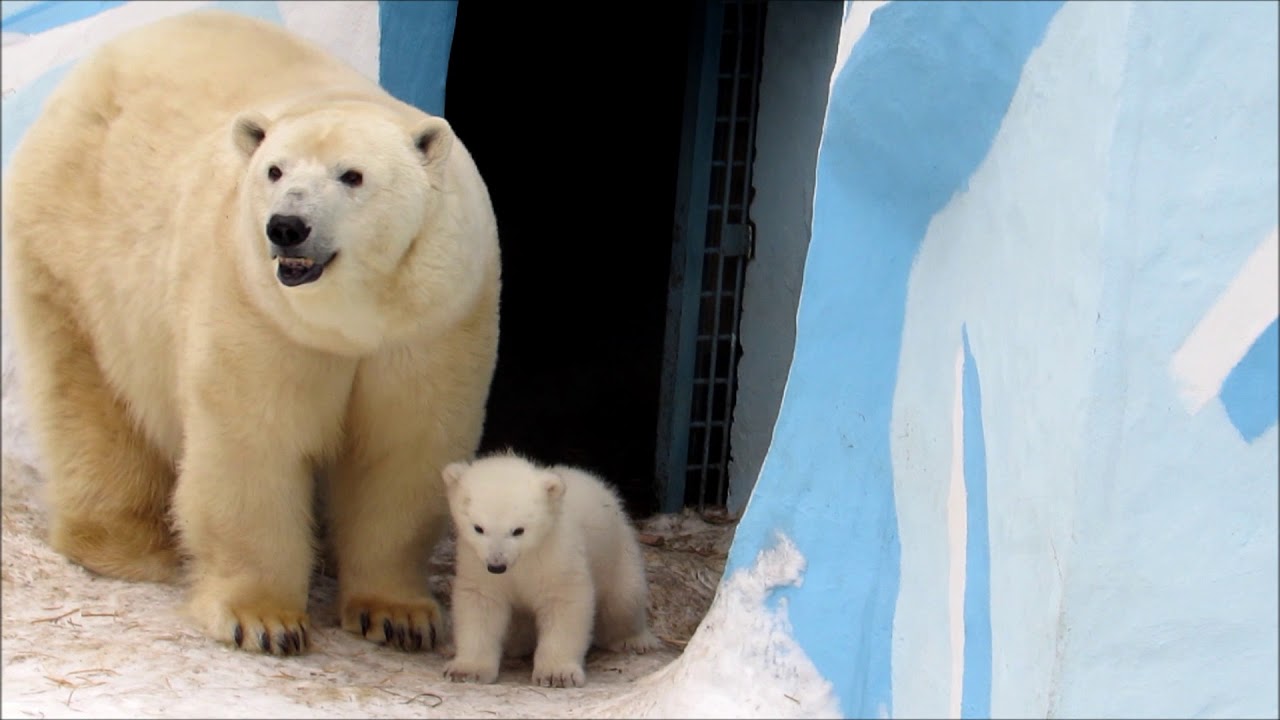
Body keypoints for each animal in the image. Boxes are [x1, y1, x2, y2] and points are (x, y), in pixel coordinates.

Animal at [2, 9, 501, 655]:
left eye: (352, 175)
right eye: (274, 170)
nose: (286, 226)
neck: (351, 321)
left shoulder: (433, 324)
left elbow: (401, 452)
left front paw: (398, 616)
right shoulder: (255, 308)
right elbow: (254, 444)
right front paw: (263, 620)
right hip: (73, 252)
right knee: (87, 393)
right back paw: (127, 544)